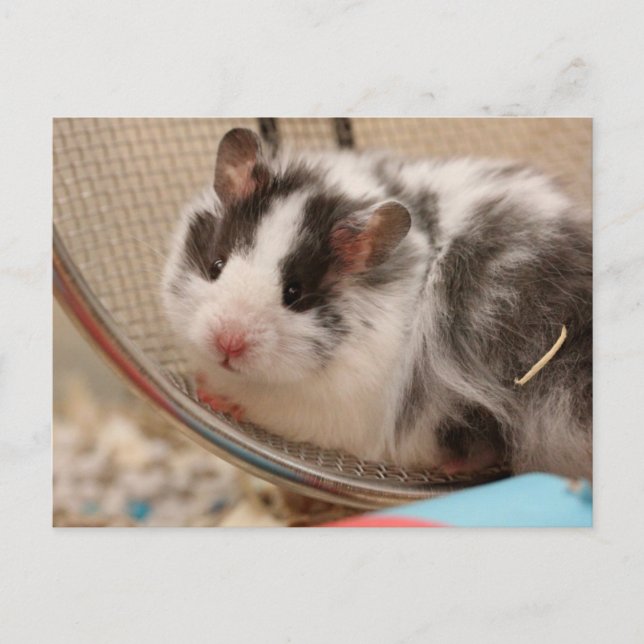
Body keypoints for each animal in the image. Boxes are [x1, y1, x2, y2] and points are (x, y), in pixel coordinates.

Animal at [162, 128, 592, 479]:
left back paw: (452, 467)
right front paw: (203, 386)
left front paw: (217, 398)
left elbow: (256, 406)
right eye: (216, 266)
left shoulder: (323, 413)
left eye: (294, 293)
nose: (227, 344)